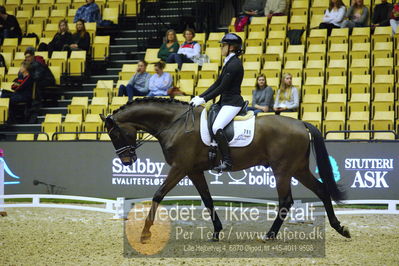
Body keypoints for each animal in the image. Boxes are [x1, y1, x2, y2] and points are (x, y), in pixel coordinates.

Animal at [100, 97, 350, 243]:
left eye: (114, 134)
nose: (126, 161)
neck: (176, 124)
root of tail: (301, 123)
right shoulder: (193, 171)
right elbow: (207, 200)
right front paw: (217, 232)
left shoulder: (179, 168)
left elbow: (158, 194)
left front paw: (145, 233)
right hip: (297, 168)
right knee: (322, 190)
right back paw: (339, 228)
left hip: (282, 170)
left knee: (286, 201)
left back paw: (269, 235)